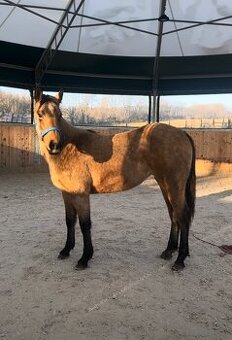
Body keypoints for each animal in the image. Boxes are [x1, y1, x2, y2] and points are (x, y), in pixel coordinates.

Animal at [34, 89, 196, 270]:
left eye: (60, 114)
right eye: (40, 114)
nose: (54, 145)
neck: (70, 147)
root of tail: (182, 133)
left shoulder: (81, 195)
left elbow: (85, 224)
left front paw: (85, 258)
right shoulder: (67, 193)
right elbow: (70, 221)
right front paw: (66, 250)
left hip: (174, 186)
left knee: (182, 216)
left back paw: (180, 259)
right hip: (164, 185)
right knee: (173, 215)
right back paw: (169, 251)